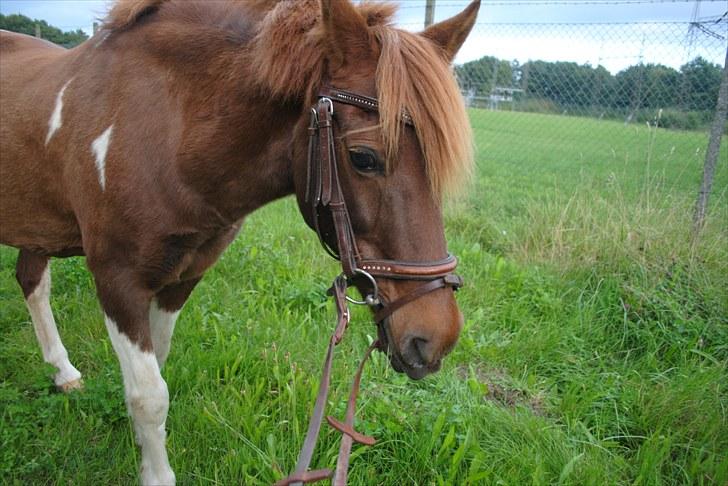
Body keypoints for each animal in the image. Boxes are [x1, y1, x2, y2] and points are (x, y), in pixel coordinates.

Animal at [0, 1, 480, 484]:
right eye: (363, 157)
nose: (435, 337)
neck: (164, 128)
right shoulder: (118, 281)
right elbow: (149, 395)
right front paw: (155, 469)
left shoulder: (182, 277)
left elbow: (156, 368)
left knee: (31, 281)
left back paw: (62, 371)